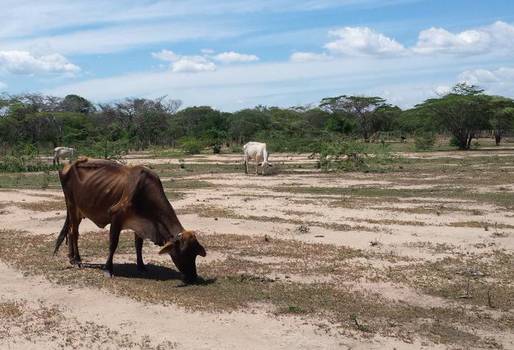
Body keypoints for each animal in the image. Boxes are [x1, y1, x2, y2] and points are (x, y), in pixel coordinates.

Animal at [52, 157, 204, 284]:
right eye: (184, 253)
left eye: (195, 253)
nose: (193, 277)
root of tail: (68, 165)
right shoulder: (116, 218)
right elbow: (113, 244)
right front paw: (108, 269)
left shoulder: (140, 223)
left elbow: (138, 245)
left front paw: (141, 266)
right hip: (72, 207)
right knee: (74, 233)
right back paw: (77, 260)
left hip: (78, 212)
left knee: (71, 232)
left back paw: (71, 258)